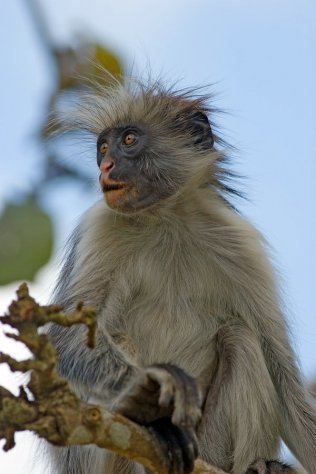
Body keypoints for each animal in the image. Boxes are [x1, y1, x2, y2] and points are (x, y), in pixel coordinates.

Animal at [46, 78, 316, 474]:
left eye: (129, 139)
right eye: (103, 148)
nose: (106, 166)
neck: (166, 218)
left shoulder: (240, 243)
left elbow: (287, 383)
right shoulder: (102, 227)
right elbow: (67, 339)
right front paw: (146, 391)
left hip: (208, 448)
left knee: (241, 337)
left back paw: (259, 465)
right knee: (120, 341)